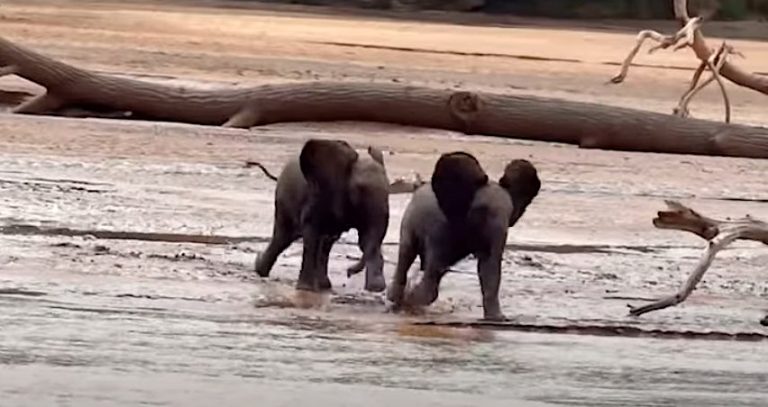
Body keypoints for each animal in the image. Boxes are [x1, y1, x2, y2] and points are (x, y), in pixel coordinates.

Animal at [254, 138, 390, 293]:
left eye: (389, 188)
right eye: (360, 189)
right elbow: (311, 233)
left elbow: (367, 237)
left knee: (324, 242)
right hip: (284, 199)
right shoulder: (317, 195)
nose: (348, 272)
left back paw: (324, 285)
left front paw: (376, 288)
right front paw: (305, 289)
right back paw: (260, 269)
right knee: (283, 236)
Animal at [387, 151, 541, 321]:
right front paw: (412, 301)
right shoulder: (441, 228)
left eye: (510, 212)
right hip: (414, 222)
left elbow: (487, 267)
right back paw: (402, 299)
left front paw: (497, 318)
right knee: (409, 255)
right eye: (482, 210)